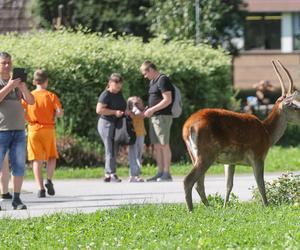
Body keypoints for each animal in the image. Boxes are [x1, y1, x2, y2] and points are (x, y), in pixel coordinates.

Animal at [180, 60, 300, 211]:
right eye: (295, 107)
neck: (267, 134)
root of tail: (187, 127)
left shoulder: (230, 161)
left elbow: (229, 185)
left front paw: (225, 207)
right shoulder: (258, 155)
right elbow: (260, 184)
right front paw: (266, 206)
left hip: (193, 153)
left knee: (198, 183)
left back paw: (209, 207)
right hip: (206, 152)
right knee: (188, 180)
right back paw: (191, 210)